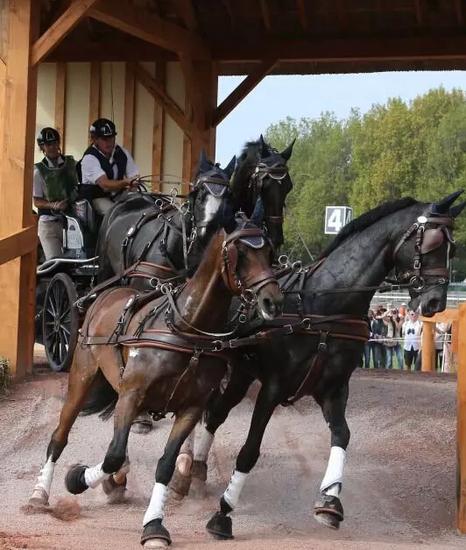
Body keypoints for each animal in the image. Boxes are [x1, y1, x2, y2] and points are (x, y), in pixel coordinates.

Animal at [29, 218, 284, 548]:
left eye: (269, 252)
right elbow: (112, 455)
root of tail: (106, 295)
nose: (272, 301)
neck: (185, 331)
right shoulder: (132, 395)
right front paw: (78, 478)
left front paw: (153, 525)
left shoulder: (190, 408)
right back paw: (39, 494)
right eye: (239, 254)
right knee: (60, 436)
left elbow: (164, 464)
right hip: (82, 377)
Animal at [177, 192, 464, 540]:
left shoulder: (334, 388)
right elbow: (250, 450)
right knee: (215, 412)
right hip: (237, 371)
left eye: (452, 248)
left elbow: (342, 436)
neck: (321, 307)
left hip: (241, 373)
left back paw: (198, 470)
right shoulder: (272, 387)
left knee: (215, 412)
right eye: (431, 242)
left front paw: (329, 502)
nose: (436, 302)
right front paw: (223, 514)